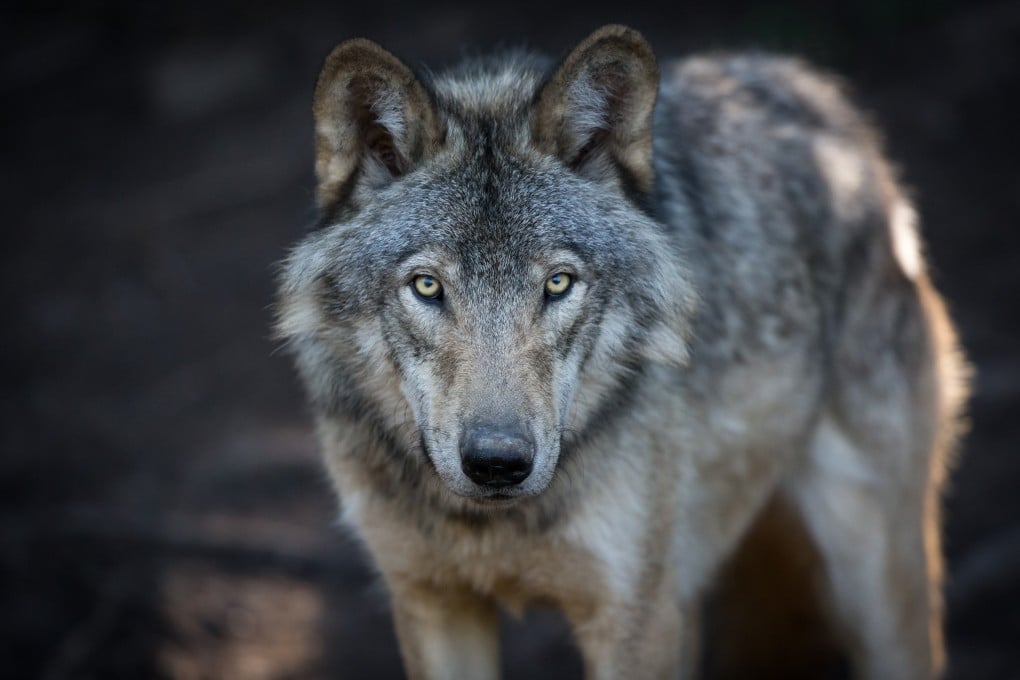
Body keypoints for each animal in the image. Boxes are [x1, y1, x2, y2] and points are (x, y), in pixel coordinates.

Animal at [275, 25, 968, 679]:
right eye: (427, 286)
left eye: (558, 283)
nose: (498, 464)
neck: (493, 526)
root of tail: (814, 92)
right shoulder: (432, 603)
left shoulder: (633, 618)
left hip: (874, 585)